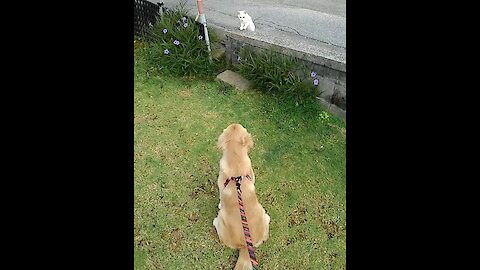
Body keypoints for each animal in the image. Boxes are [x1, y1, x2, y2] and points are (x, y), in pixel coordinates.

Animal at [213, 124, 270, 270]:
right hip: (264, 214)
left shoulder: (220, 187)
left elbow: (221, 200)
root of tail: (245, 246)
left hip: (221, 218)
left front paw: (219, 204)